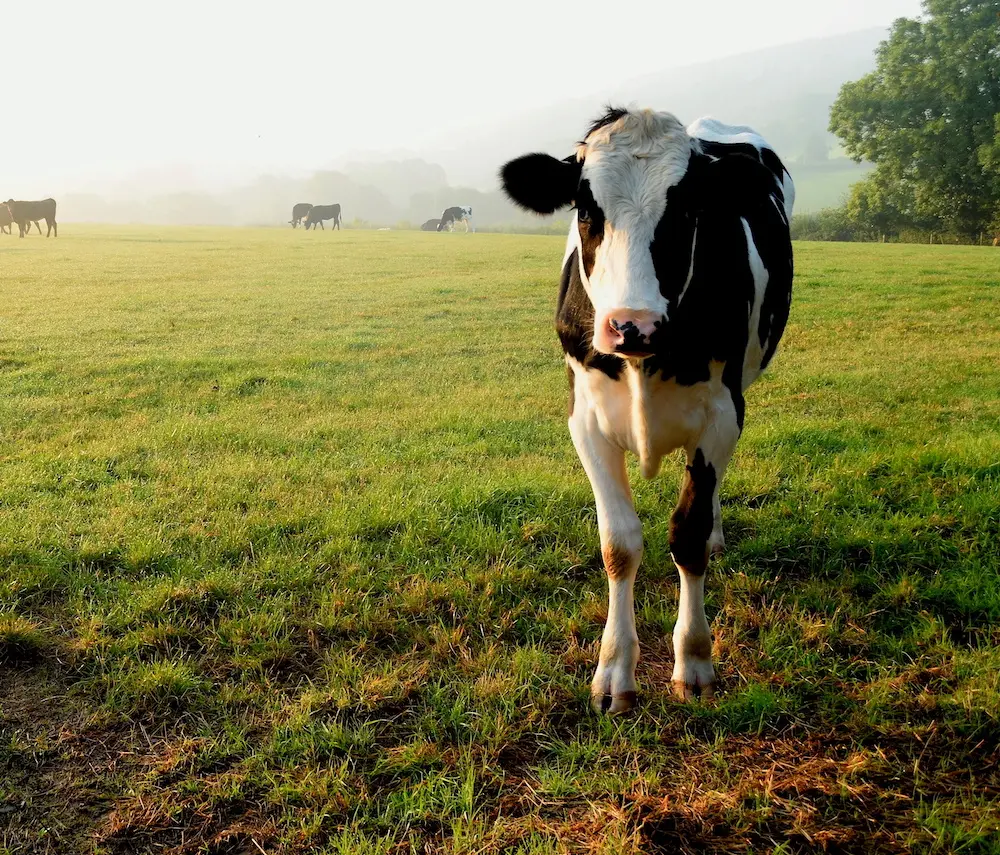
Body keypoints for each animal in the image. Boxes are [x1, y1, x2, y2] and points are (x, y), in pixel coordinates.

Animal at [500, 107, 794, 713]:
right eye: (586, 208)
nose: (632, 325)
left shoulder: (723, 413)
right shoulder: (585, 418)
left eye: (687, 209)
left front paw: (695, 660)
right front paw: (614, 670)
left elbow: (688, 532)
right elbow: (619, 544)